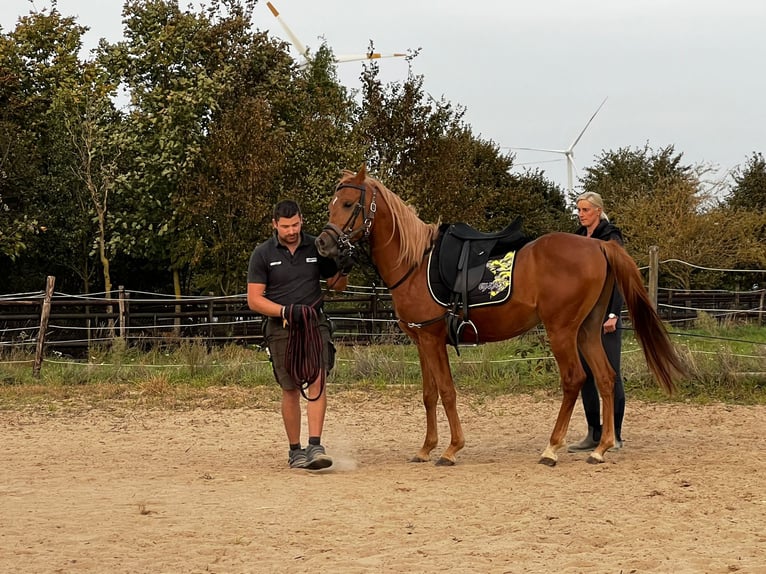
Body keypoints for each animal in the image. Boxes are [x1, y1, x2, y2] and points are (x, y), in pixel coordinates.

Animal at [316, 165, 688, 468]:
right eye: (332, 204)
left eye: (348, 204)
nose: (322, 243)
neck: (415, 262)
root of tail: (598, 245)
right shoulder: (421, 340)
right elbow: (429, 394)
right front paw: (426, 448)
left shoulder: (433, 339)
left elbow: (447, 391)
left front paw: (451, 449)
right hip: (588, 330)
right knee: (606, 378)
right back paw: (601, 448)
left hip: (562, 331)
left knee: (574, 380)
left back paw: (552, 448)